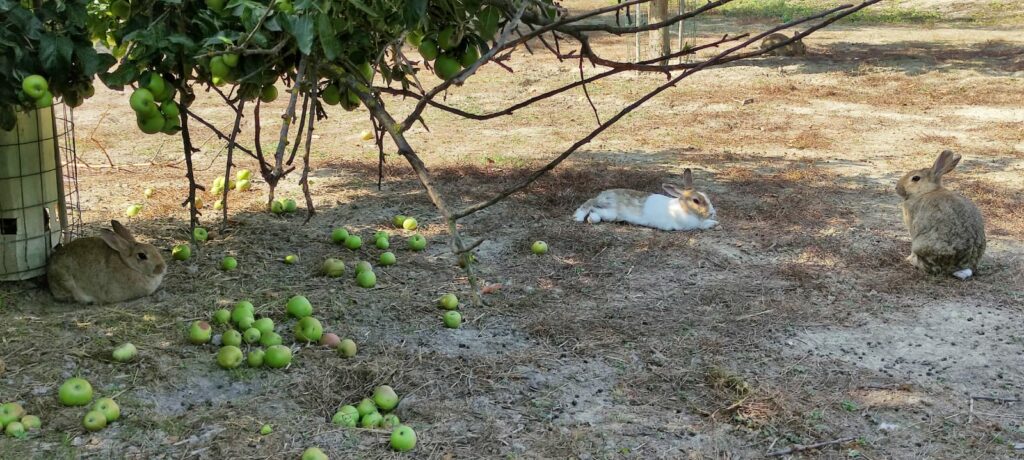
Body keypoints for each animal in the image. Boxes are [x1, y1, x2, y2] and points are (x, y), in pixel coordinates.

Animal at [573, 168, 716, 231]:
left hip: (608, 214)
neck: (684, 209)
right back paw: (578, 217)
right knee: (589, 203)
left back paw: (591, 219)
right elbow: (701, 225)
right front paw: (713, 223)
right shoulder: (687, 225)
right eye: (696, 201)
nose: (712, 213)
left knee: (594, 212)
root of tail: (603, 194)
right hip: (608, 209)